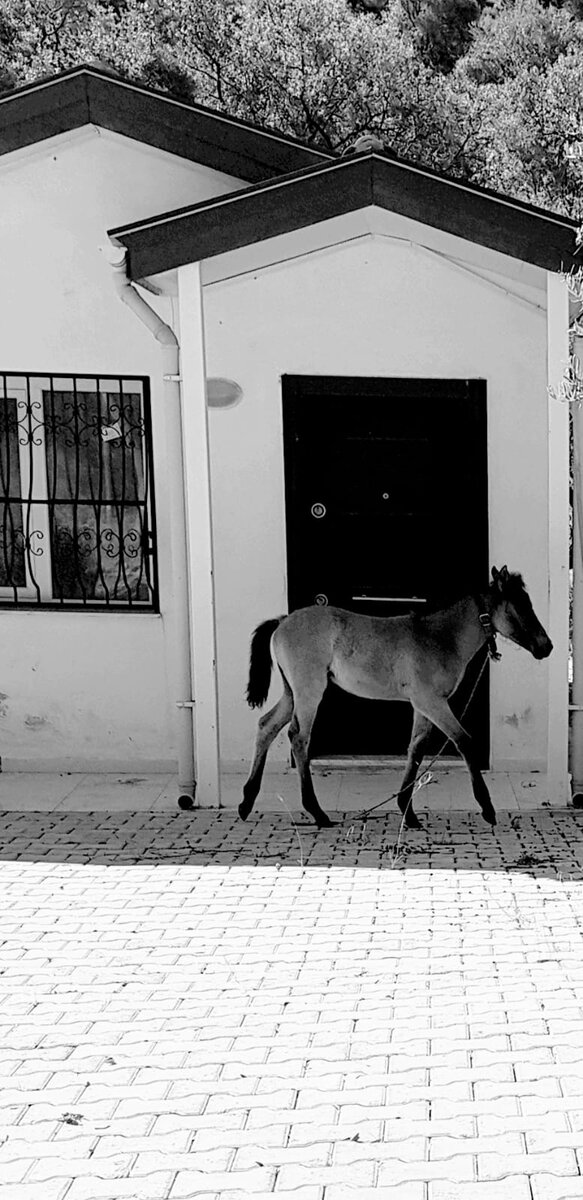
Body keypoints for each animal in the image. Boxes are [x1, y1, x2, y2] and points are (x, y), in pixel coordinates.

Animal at [239, 566, 551, 830]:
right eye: (520, 605)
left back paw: (246, 803)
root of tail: (282, 621)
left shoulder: (424, 706)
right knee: (299, 737)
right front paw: (487, 809)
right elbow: (464, 741)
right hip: (309, 692)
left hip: (291, 692)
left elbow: (416, 750)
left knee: (266, 726)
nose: (546, 647)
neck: (439, 637)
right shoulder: (431, 702)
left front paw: (408, 813)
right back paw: (317, 813)